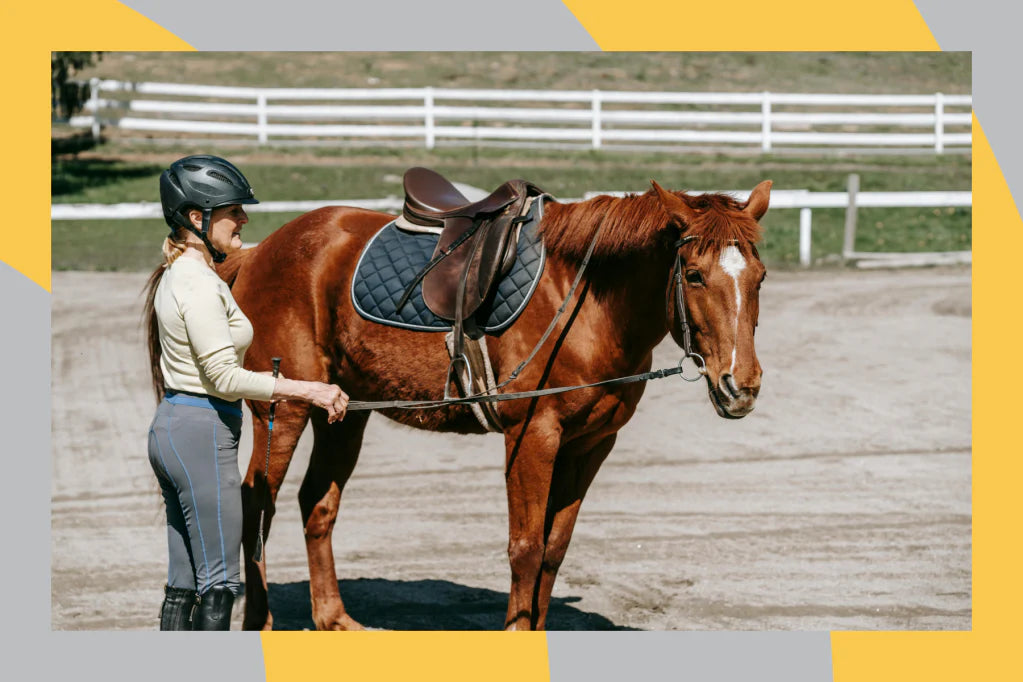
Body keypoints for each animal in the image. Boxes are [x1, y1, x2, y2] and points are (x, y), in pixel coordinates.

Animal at [214, 179, 770, 630]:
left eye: (760, 277)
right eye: (694, 275)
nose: (740, 384)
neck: (584, 302)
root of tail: (262, 250)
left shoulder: (591, 444)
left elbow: (553, 550)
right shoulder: (532, 436)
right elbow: (525, 550)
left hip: (344, 414)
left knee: (318, 503)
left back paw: (333, 619)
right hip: (282, 410)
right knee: (256, 504)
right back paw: (261, 621)